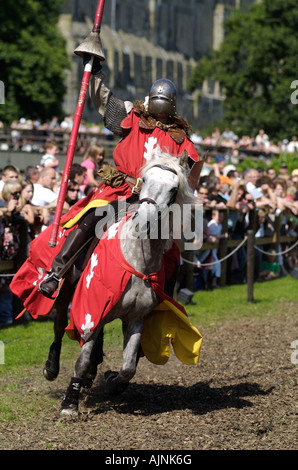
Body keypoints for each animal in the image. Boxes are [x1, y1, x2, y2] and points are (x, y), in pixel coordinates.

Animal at [44, 150, 203, 414]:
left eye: (173, 189)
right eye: (145, 179)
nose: (144, 221)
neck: (136, 259)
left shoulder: (136, 318)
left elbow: (128, 367)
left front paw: (112, 383)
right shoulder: (91, 308)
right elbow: (82, 359)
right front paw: (70, 404)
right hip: (68, 287)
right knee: (58, 325)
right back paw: (52, 366)